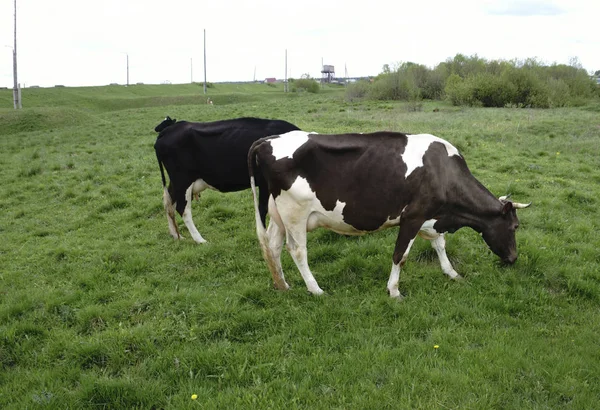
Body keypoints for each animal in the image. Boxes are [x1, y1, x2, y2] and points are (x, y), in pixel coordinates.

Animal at [155, 117, 300, 242]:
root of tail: (169, 129)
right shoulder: (265, 183)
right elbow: (263, 209)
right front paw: (265, 237)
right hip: (182, 180)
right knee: (182, 208)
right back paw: (199, 240)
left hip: (177, 182)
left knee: (168, 202)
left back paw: (176, 235)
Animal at [248, 131, 528, 298]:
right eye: (514, 227)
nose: (514, 258)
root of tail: (268, 139)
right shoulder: (413, 216)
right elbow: (400, 255)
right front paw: (394, 291)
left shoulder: (433, 217)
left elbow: (440, 245)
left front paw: (452, 274)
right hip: (295, 212)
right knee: (297, 250)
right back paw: (316, 290)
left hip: (278, 215)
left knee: (273, 245)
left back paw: (282, 285)